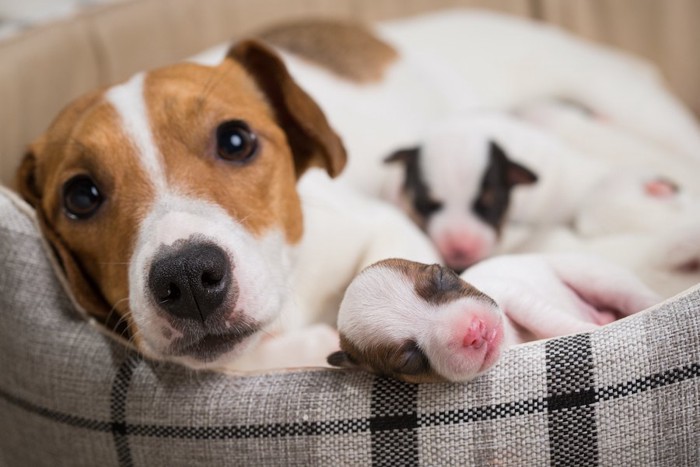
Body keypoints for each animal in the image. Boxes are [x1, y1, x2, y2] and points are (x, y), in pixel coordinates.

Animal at [326, 256, 656, 384]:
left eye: (441, 276)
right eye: (409, 360)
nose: (475, 330)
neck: (511, 341)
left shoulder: (515, 296)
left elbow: (548, 318)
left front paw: (587, 331)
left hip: (595, 276)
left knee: (630, 295)